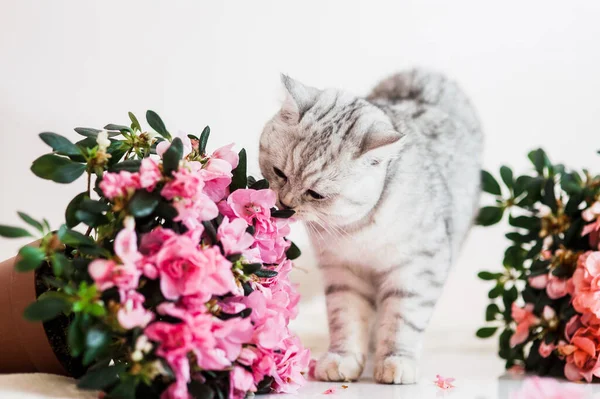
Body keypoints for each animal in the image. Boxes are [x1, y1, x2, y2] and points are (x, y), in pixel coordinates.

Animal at [258, 70, 482, 386]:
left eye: (316, 194)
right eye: (279, 173)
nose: (285, 202)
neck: (357, 228)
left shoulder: (418, 267)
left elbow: (402, 318)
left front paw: (396, 360)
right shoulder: (342, 272)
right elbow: (346, 318)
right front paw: (343, 358)